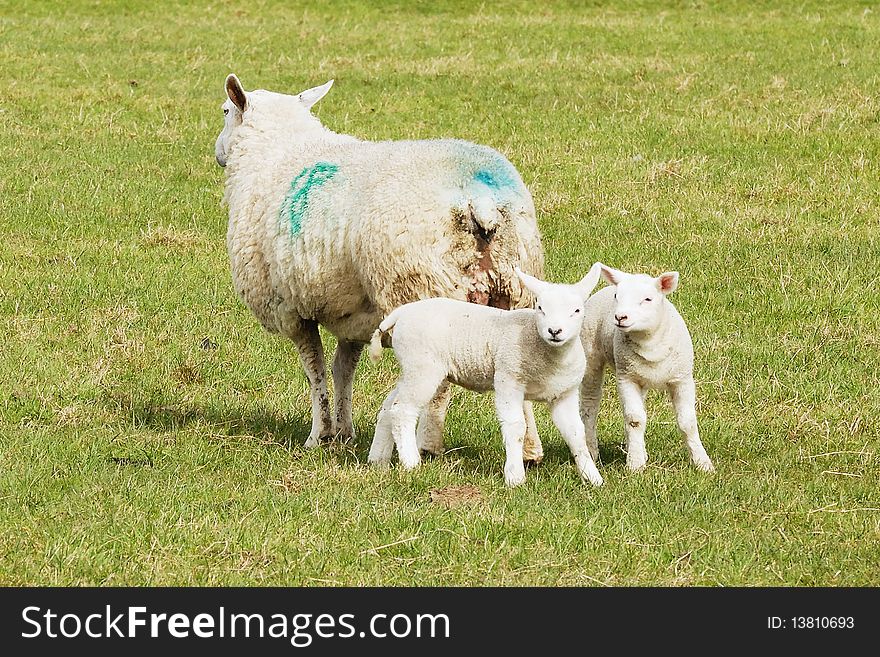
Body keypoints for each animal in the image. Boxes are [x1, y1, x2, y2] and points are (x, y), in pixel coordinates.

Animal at [214, 72, 548, 452]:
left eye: (225, 110)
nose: (218, 153)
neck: (276, 153)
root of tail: (481, 200)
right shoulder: (354, 313)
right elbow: (343, 368)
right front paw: (343, 432)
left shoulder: (290, 308)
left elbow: (314, 369)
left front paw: (318, 435)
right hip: (515, 287)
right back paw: (530, 449)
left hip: (422, 287)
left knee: (438, 385)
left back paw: (427, 445)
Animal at [370, 262, 604, 486]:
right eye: (540, 308)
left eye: (577, 310)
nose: (554, 331)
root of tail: (402, 313)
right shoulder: (508, 380)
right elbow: (516, 427)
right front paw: (515, 477)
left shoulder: (564, 394)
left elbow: (576, 433)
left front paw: (592, 477)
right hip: (422, 366)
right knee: (403, 410)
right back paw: (411, 463)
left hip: (414, 367)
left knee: (389, 406)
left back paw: (378, 460)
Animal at [576, 266, 716, 472]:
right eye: (617, 296)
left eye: (648, 299)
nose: (620, 317)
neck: (650, 344)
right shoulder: (626, 378)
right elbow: (635, 420)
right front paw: (635, 465)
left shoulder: (682, 378)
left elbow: (688, 422)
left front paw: (703, 463)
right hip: (591, 357)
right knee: (589, 406)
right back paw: (593, 452)